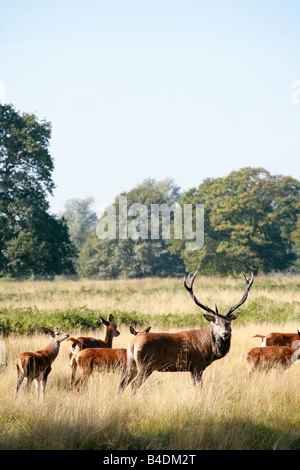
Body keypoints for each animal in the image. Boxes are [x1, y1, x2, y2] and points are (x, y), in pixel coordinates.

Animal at [118, 270, 254, 394]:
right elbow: (200, 388)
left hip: (132, 364)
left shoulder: (192, 368)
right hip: (146, 364)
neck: (209, 348)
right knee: (134, 385)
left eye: (229, 322)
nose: (225, 333)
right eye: (216, 322)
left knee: (122, 383)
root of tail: (132, 344)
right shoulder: (197, 365)